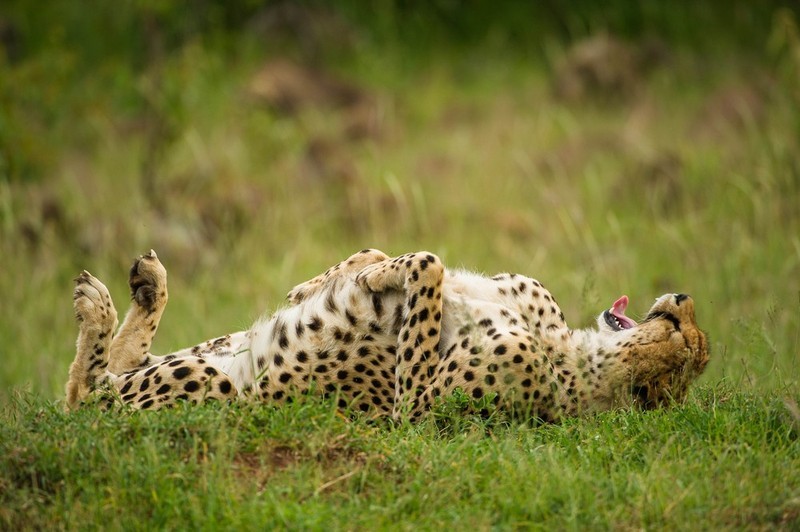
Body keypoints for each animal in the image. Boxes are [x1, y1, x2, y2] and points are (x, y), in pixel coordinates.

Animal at [65, 248, 708, 420]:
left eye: (689, 343)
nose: (683, 298)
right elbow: (388, 256)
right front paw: (320, 285)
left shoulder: (413, 411)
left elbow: (429, 264)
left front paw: (376, 279)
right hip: (212, 350)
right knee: (111, 373)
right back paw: (144, 286)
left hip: (216, 389)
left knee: (89, 398)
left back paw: (98, 309)